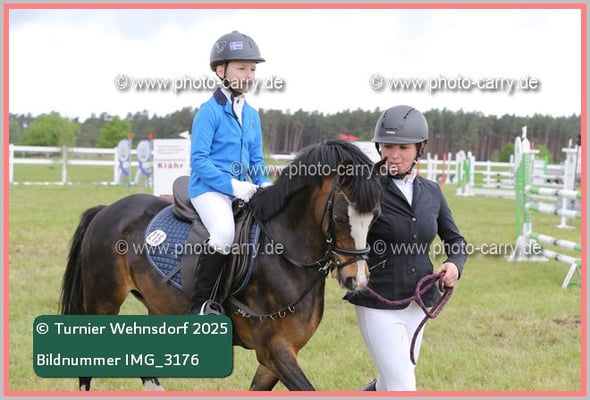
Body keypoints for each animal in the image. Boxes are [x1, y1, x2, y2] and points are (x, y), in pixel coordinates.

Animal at [59, 139, 381, 391]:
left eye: (376, 215)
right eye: (339, 216)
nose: (357, 280)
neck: (286, 255)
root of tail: (107, 210)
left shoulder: (275, 358)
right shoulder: (274, 351)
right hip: (103, 302)